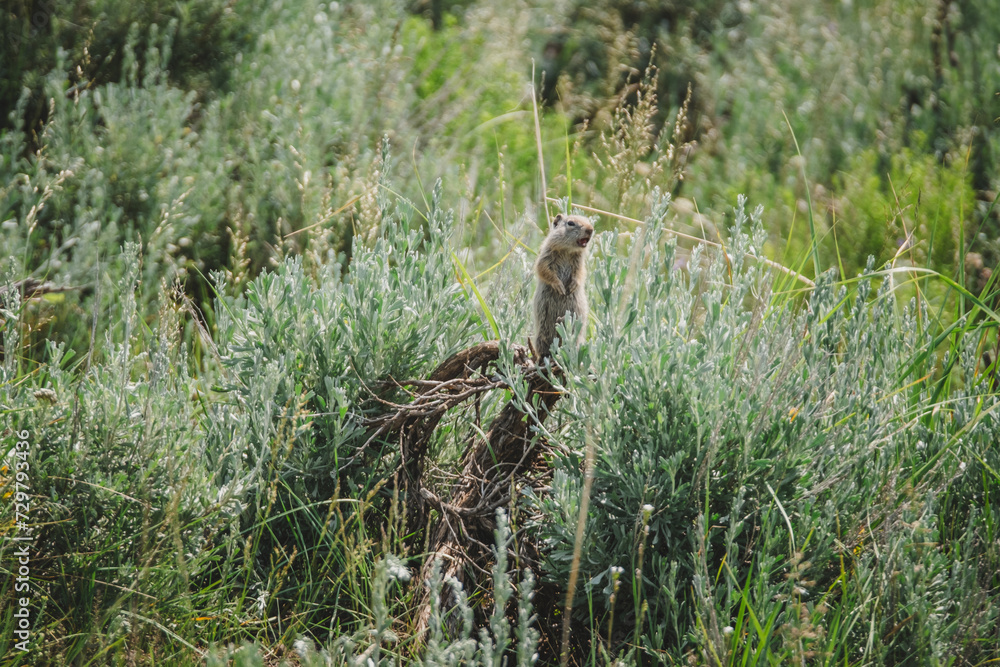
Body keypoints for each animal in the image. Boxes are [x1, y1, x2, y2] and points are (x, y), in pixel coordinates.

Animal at [532, 213, 594, 361]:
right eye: (570, 223)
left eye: (588, 220)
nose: (591, 229)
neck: (568, 250)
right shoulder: (546, 254)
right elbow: (543, 269)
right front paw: (560, 287)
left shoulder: (579, 262)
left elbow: (580, 273)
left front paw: (572, 286)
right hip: (540, 336)